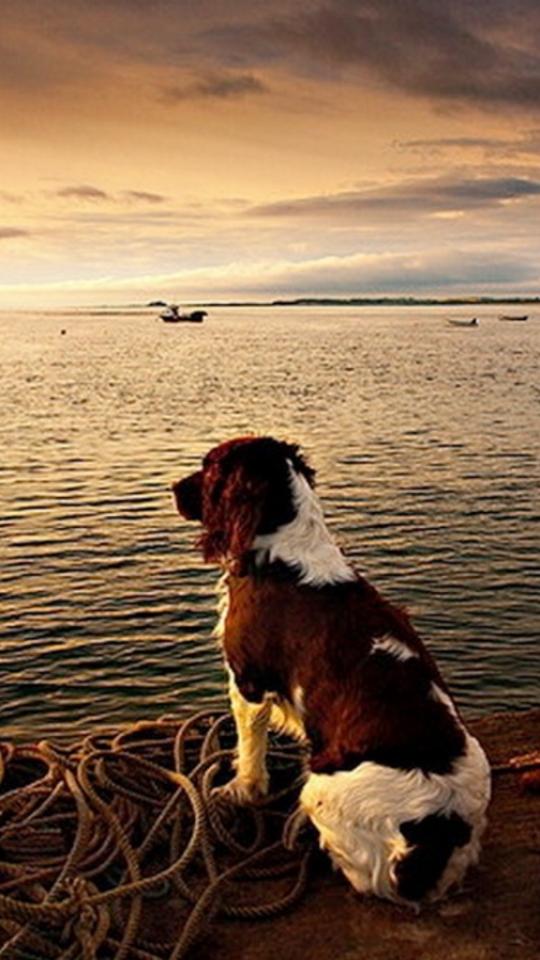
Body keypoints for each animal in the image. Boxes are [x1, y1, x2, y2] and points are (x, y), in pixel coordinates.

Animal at [173, 438, 490, 904]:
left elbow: (250, 748)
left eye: (209, 466)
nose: (173, 488)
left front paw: (239, 789)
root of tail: (439, 831)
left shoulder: (248, 680)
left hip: (322, 786)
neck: (284, 549)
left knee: (361, 876)